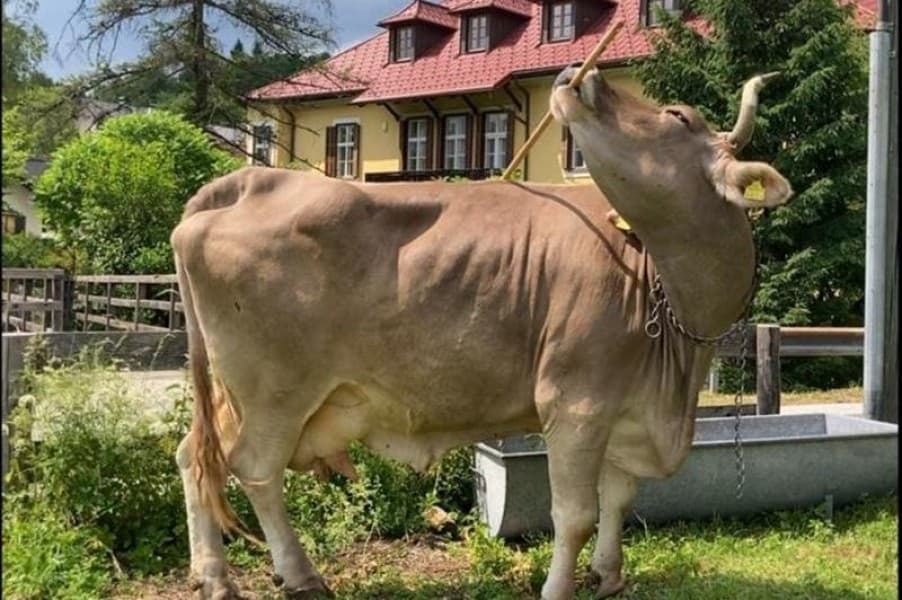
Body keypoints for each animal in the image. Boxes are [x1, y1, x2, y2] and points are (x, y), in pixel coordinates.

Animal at [171, 66, 792, 600]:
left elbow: (618, 497)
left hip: (234, 392)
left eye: (677, 116)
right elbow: (575, 514)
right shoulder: (576, 402)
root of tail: (250, 179)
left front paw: (608, 575)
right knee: (255, 470)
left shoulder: (626, 407)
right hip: (275, 391)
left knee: (195, 458)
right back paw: (299, 575)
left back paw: (213, 575)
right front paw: (558, 588)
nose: (581, 75)